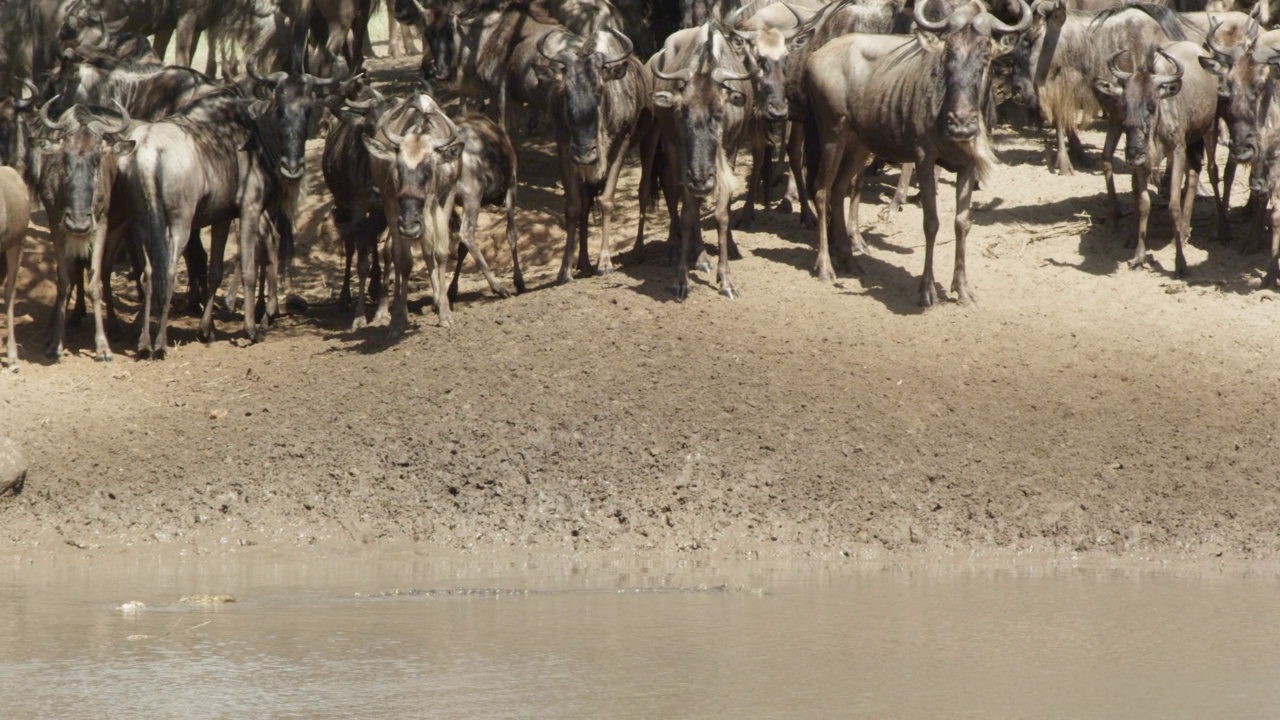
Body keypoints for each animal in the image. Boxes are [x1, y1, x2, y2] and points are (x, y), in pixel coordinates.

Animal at [1090, 41, 1218, 274]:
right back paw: (1184, 231)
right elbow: (1143, 204)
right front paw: (1139, 256)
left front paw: (1181, 263)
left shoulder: (1176, 150)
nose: (1134, 152)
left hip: (1209, 131)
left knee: (1211, 171)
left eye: (1151, 106)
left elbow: (1173, 206)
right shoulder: (1143, 162)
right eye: (1125, 105)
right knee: (1194, 173)